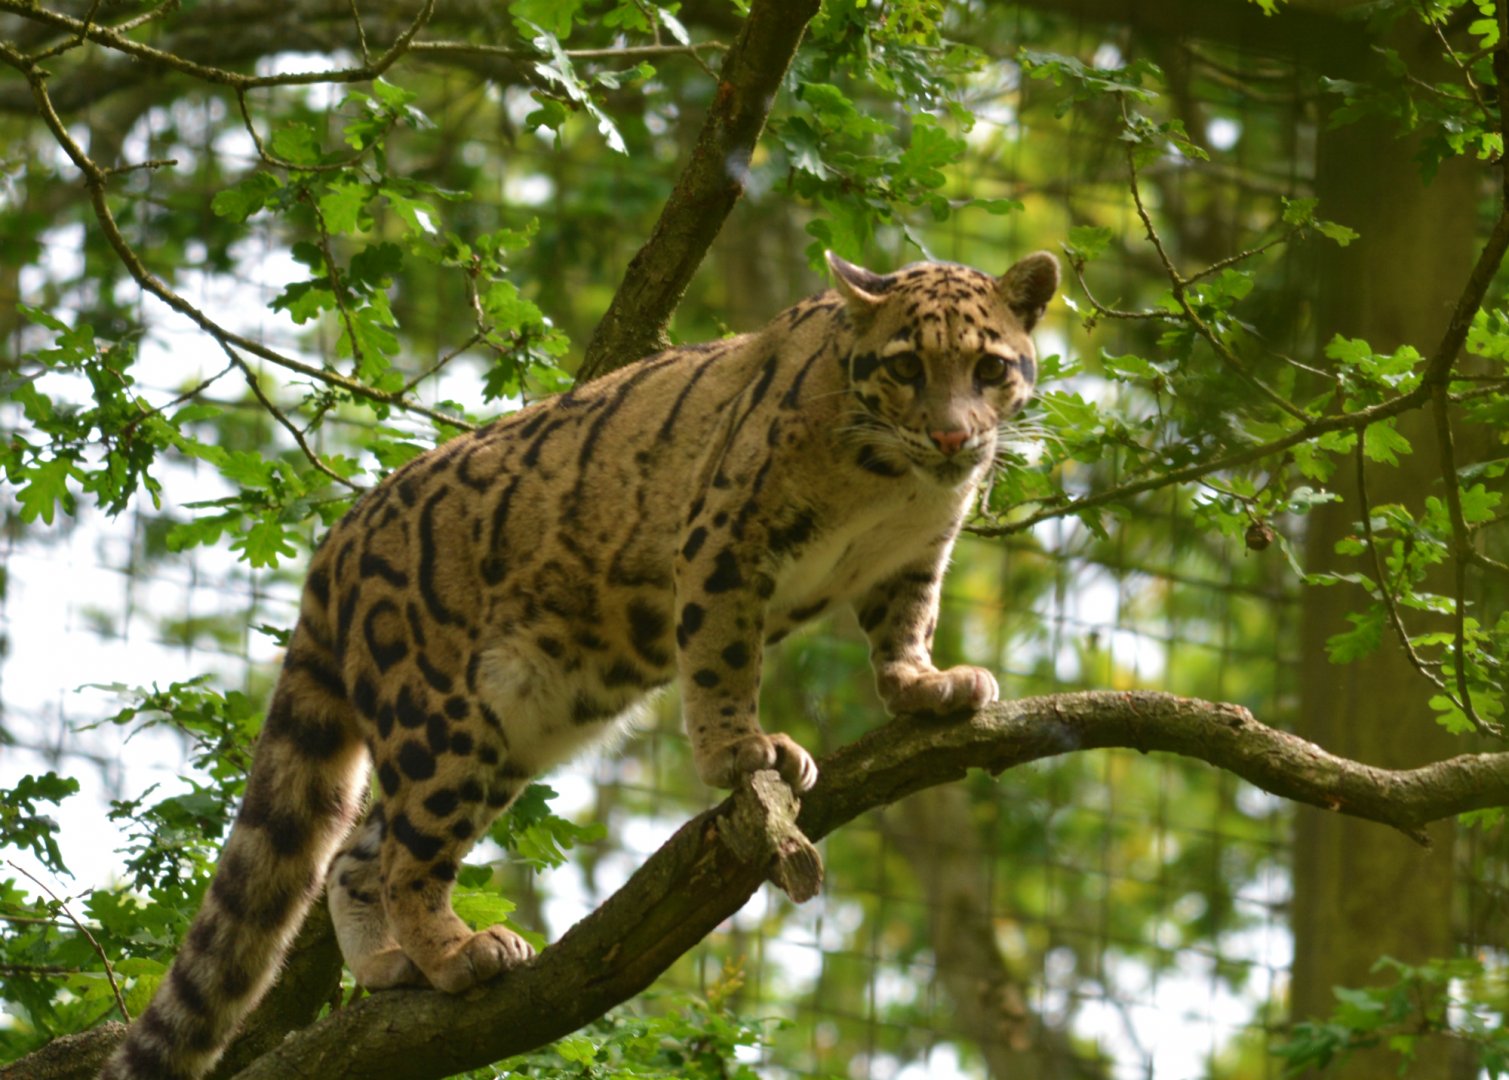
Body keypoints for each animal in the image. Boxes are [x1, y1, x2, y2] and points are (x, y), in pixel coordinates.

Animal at [99, 248, 1059, 1080]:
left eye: (987, 367)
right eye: (905, 366)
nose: (952, 437)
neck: (894, 483)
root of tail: (335, 545)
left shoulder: (915, 555)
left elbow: (902, 627)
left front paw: (925, 687)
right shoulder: (725, 540)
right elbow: (721, 659)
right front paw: (740, 751)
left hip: (510, 726)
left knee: (356, 855)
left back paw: (390, 967)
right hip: (442, 720)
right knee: (406, 857)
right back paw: (457, 954)